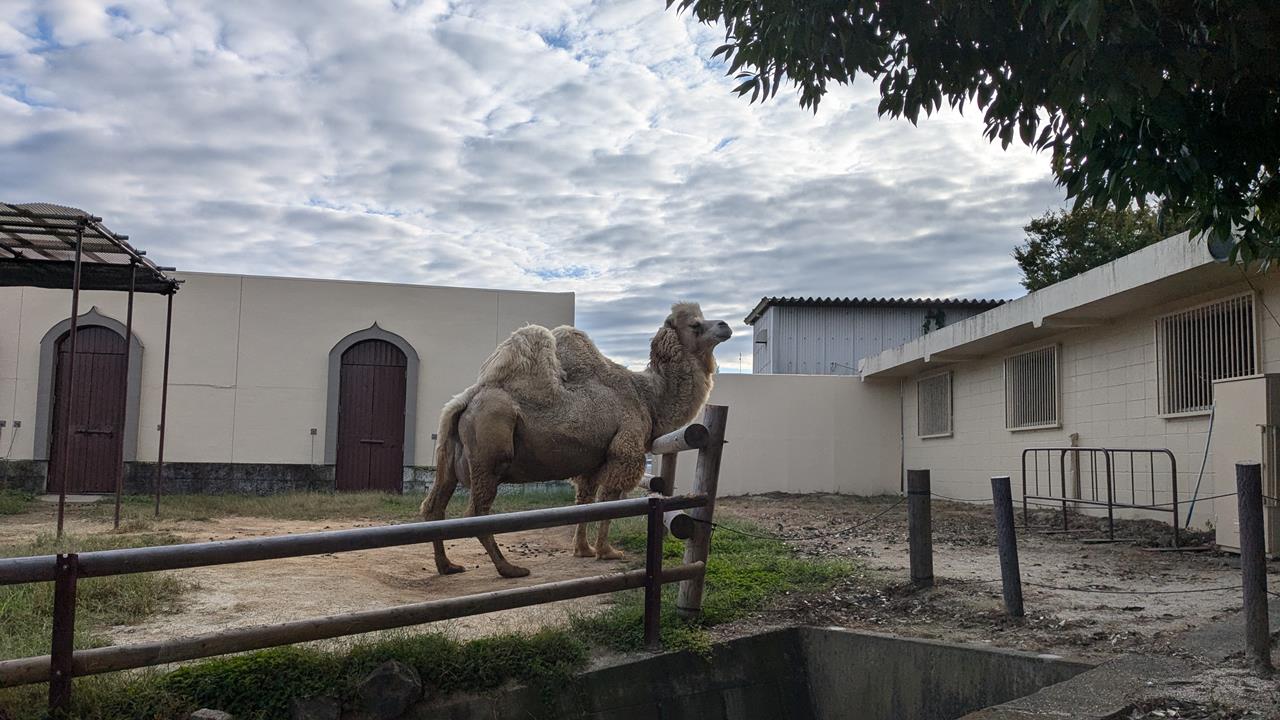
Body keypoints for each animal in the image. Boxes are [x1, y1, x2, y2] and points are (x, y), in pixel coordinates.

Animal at [419, 302, 732, 576]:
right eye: (694, 324)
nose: (725, 325)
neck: (647, 396)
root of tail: (464, 400)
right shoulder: (623, 451)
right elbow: (610, 501)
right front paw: (606, 551)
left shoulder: (591, 463)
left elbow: (585, 502)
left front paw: (583, 549)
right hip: (490, 451)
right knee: (476, 512)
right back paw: (509, 569)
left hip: (449, 453)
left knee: (435, 507)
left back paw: (447, 566)